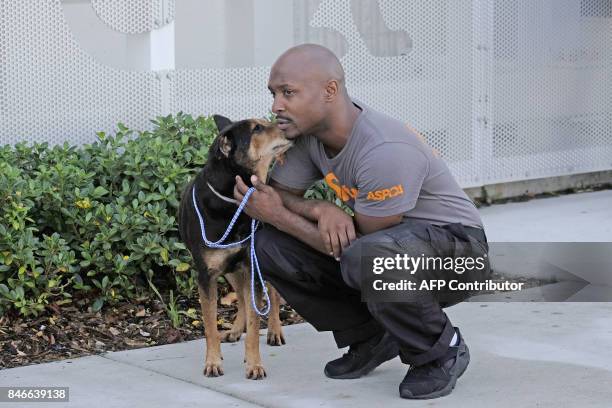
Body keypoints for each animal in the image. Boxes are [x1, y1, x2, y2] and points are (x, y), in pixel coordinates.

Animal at [178, 115, 292, 380]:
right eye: (257, 128)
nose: (286, 123)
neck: (232, 202)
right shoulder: (207, 275)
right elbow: (210, 325)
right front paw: (212, 362)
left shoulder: (253, 266)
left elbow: (255, 323)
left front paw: (254, 364)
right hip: (229, 270)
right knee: (240, 294)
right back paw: (235, 329)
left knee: (272, 294)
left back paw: (275, 331)